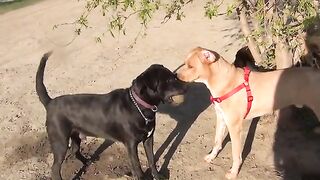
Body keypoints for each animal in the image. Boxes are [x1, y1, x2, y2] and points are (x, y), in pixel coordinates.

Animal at [36, 51, 188, 179]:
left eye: (174, 77)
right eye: (168, 81)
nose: (186, 86)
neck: (139, 106)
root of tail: (50, 102)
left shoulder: (149, 138)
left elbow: (151, 160)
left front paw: (157, 176)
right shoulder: (131, 145)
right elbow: (137, 166)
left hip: (75, 134)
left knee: (74, 150)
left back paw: (87, 161)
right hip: (60, 142)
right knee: (55, 169)